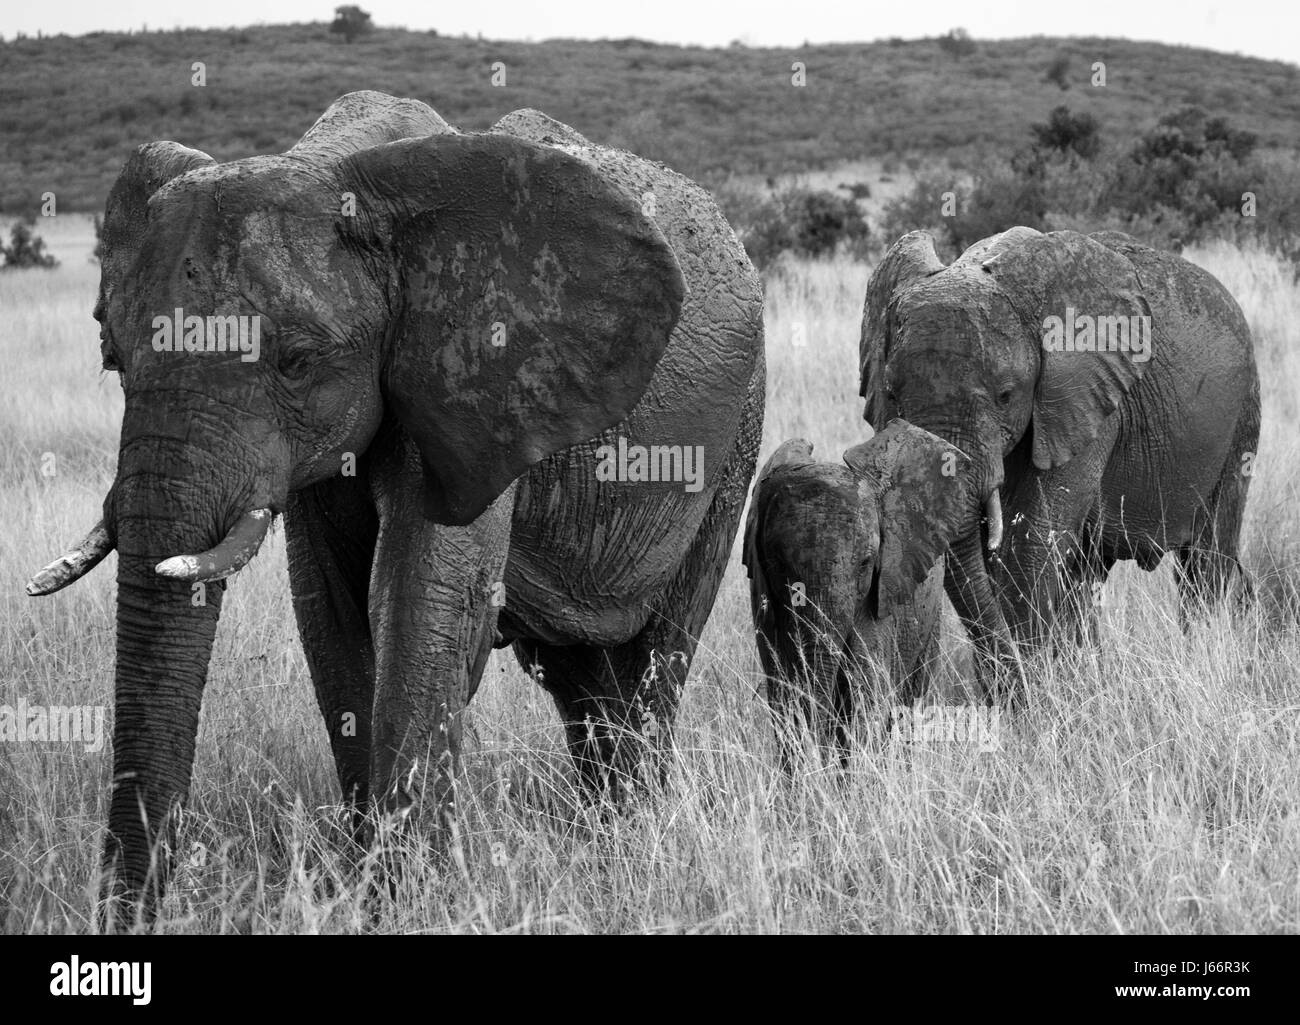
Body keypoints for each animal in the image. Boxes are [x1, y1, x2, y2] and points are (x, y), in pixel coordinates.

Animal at [25, 90, 764, 920]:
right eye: (112, 356)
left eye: (298, 361)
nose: (136, 914)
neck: (335, 171)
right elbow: (334, 617)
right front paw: (371, 887)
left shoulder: (469, 377)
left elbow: (417, 602)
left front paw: (407, 903)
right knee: (585, 683)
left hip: (737, 431)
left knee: (654, 665)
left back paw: (630, 856)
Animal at [748, 418, 972, 770]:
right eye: (777, 562)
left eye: (867, 562)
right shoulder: (763, 599)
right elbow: (783, 688)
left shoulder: (882, 594)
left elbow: (864, 690)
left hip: (931, 614)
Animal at [863, 226, 1258, 686]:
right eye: (891, 395)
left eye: (1006, 395)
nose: (1009, 686)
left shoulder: (1085, 402)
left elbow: (1026, 545)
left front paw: (1031, 694)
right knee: (1087, 574)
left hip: (1241, 419)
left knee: (1206, 561)